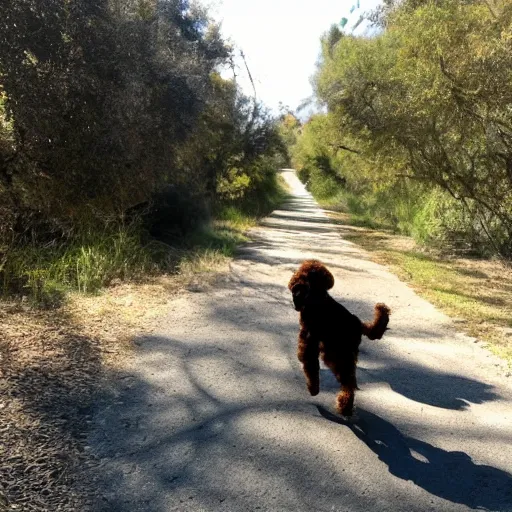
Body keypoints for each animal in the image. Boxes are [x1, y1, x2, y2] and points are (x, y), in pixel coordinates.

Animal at [288, 260, 392, 416]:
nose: (294, 288)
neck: (317, 297)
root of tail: (359, 325)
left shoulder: (308, 340)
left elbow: (310, 366)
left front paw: (313, 389)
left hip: (336, 355)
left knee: (348, 384)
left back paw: (344, 406)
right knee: (351, 383)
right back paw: (346, 407)